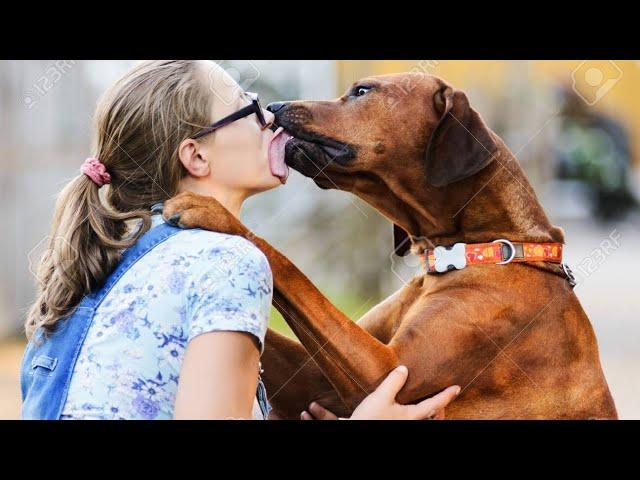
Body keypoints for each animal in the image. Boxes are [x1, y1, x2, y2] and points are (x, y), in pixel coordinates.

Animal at [162, 73, 616, 418]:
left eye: (362, 91)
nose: (275, 106)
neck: (477, 251)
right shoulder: (314, 379)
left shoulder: (390, 372)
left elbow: (289, 266)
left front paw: (213, 210)